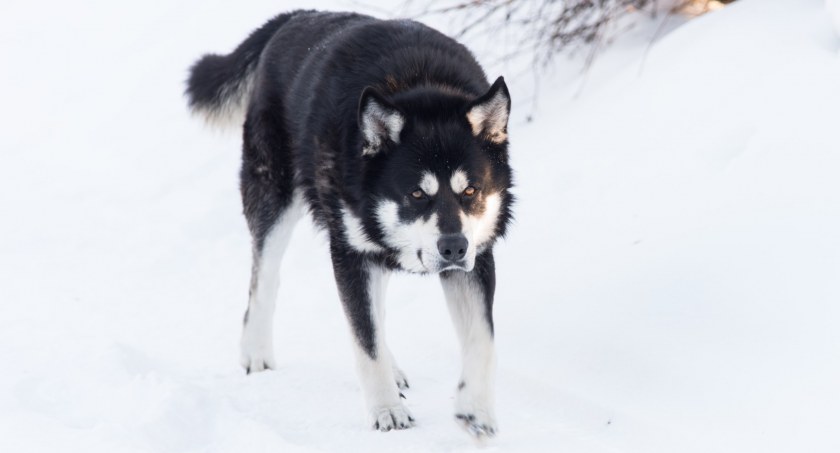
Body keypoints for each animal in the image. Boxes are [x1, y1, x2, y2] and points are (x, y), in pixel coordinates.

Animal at [186, 8, 512, 436]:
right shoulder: (350, 254)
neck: (417, 82)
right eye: (416, 194)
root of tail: (295, 17)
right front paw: (386, 410)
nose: (454, 247)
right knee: (265, 279)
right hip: (276, 200)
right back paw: (255, 352)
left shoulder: (473, 260)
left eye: (470, 190)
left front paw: (476, 409)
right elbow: (365, 340)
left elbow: (483, 340)